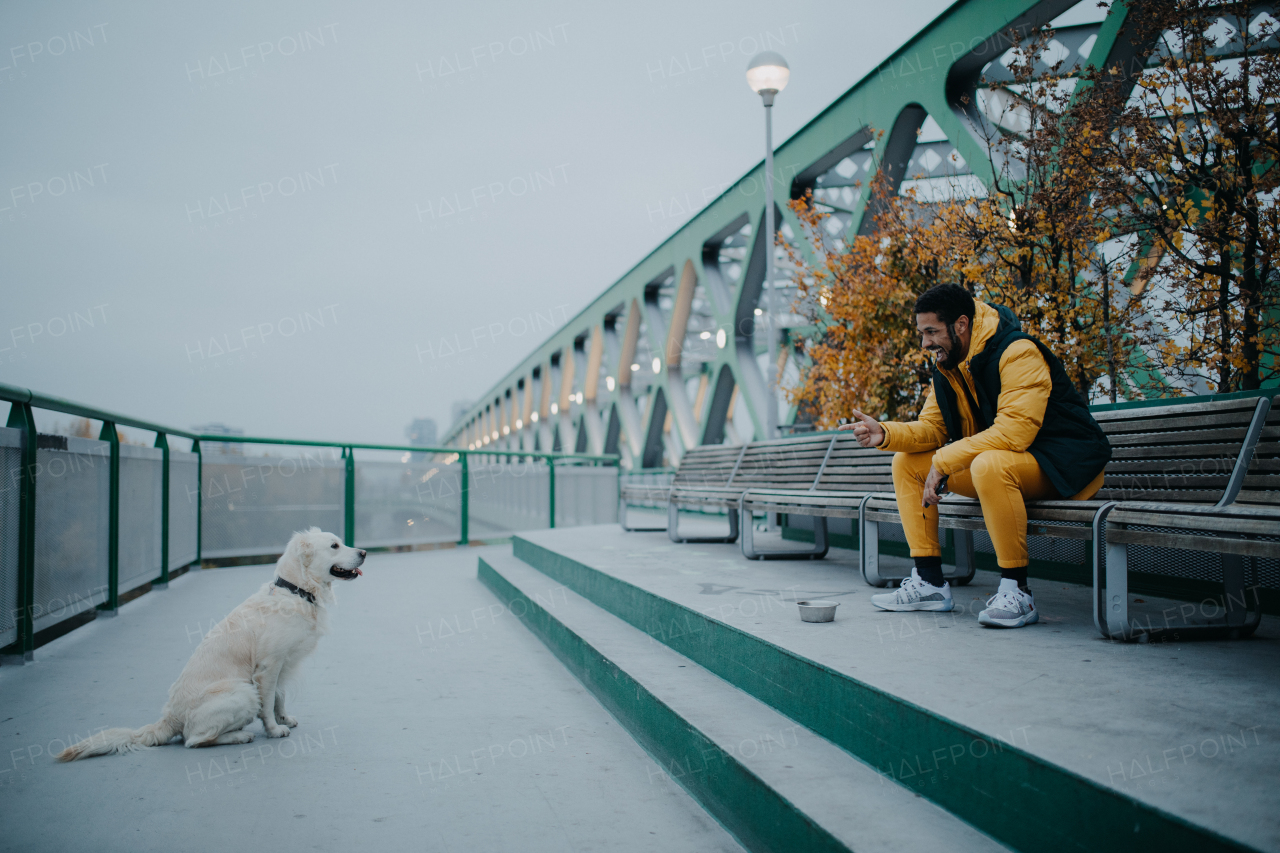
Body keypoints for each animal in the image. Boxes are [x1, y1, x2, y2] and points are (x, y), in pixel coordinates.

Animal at [56, 525, 363, 758]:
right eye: (335, 545)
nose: (362, 552)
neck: (296, 591)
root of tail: (171, 717)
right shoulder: (268, 666)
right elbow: (267, 703)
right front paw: (275, 730)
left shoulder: (281, 664)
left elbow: (280, 696)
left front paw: (284, 718)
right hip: (242, 691)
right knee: (193, 739)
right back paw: (239, 736)